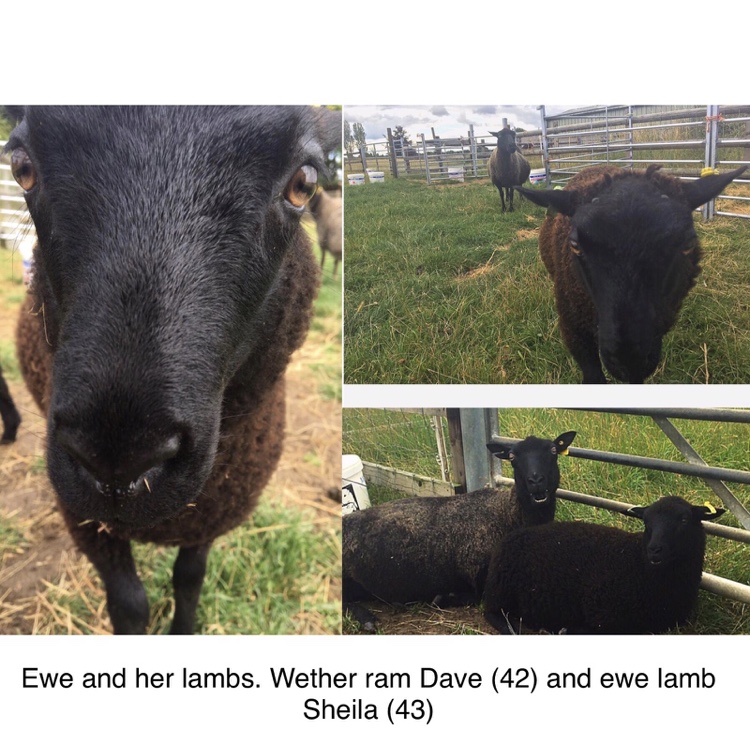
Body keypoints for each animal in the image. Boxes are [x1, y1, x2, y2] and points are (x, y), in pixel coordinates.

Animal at [5, 105, 340, 634]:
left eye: (303, 183)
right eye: (22, 167)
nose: (118, 460)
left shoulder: (210, 512)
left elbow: (190, 579)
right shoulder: (88, 522)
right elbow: (129, 604)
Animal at [343, 430, 576, 630]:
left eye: (553, 450)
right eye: (512, 456)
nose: (536, 481)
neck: (508, 514)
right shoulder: (483, 578)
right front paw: (446, 597)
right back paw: (368, 619)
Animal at [483, 496, 726, 635]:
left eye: (684, 520)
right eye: (646, 522)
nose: (654, 550)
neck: (638, 564)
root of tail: (511, 536)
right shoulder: (605, 619)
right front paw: (566, 630)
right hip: (500, 591)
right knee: (493, 614)